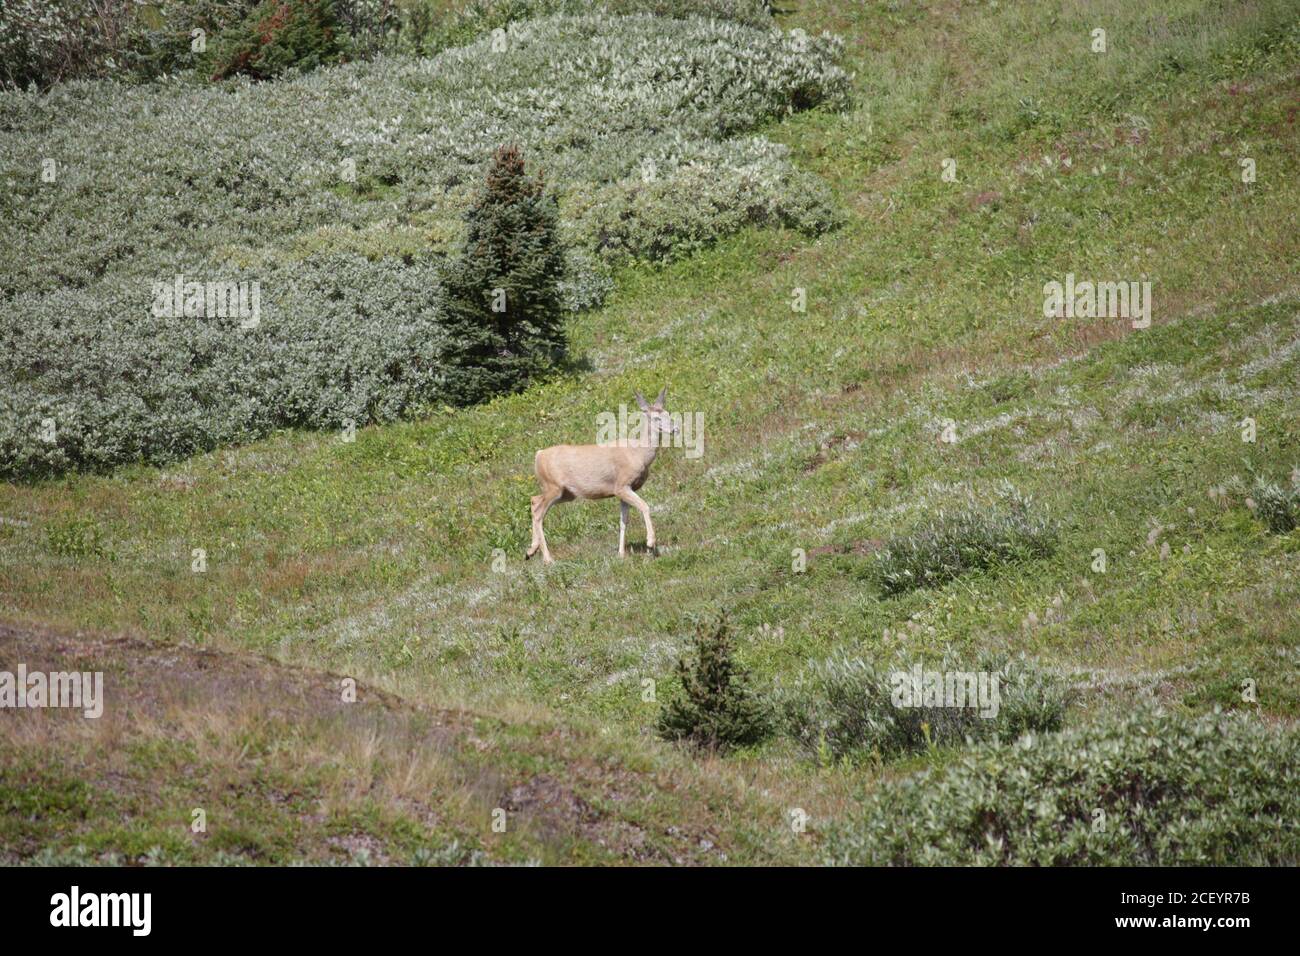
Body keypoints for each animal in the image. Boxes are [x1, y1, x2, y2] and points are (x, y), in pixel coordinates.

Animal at [522, 390, 681, 564]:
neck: (639, 453)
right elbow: (645, 506)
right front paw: (650, 543)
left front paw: (621, 554)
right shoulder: (621, 485)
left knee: (534, 500)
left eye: (668, 414)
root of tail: (538, 455)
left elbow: (623, 520)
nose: (675, 429)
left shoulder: (625, 490)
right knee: (539, 513)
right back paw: (548, 559)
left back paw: (530, 551)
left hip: (565, 493)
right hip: (553, 486)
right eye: (656, 418)